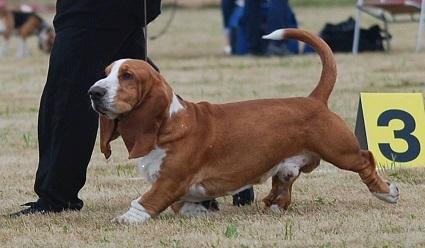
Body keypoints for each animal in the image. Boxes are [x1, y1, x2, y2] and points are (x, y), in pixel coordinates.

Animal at [88, 27, 398, 225]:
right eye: (106, 73)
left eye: (127, 76)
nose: (93, 92)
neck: (169, 123)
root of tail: (313, 99)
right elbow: (183, 205)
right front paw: (201, 213)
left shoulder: (170, 180)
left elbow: (146, 201)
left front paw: (125, 219)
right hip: (288, 166)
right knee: (284, 184)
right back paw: (273, 205)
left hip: (341, 151)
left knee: (366, 160)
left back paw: (386, 192)